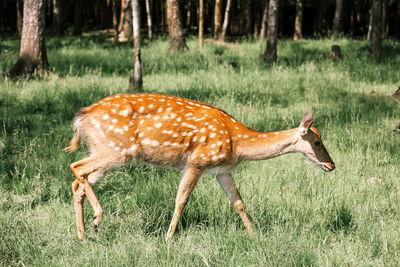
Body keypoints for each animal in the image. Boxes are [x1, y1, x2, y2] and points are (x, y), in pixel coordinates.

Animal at [65, 93, 334, 242]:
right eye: (317, 141)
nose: (331, 165)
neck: (237, 144)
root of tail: (81, 117)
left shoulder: (222, 170)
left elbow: (238, 202)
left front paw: (254, 234)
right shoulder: (196, 162)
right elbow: (181, 199)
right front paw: (168, 238)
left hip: (103, 150)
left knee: (78, 181)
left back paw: (82, 236)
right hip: (116, 150)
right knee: (76, 166)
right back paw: (97, 218)